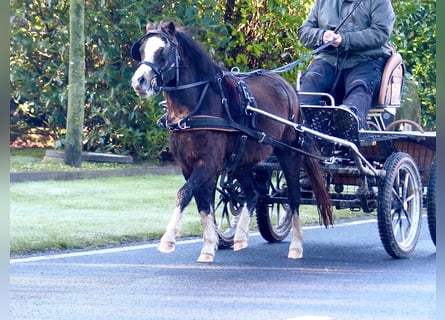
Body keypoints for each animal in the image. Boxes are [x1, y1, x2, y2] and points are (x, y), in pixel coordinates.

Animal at [130, 19, 332, 262]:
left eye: (164, 50)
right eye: (142, 50)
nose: (139, 81)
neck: (195, 108)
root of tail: (289, 88)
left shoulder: (209, 163)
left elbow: (184, 193)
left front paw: (168, 240)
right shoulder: (188, 166)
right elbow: (203, 203)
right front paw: (209, 246)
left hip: (288, 153)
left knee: (293, 197)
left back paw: (296, 245)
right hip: (241, 161)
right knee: (253, 193)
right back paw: (241, 236)